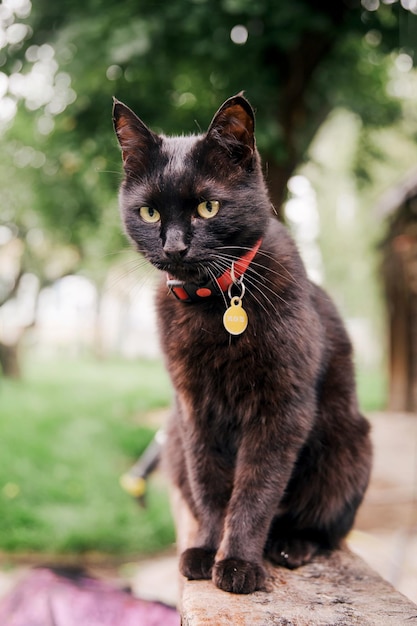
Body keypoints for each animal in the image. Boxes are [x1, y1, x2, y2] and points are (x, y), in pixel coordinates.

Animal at [113, 95, 370, 592]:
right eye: (150, 213)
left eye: (209, 207)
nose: (174, 248)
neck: (214, 305)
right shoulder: (194, 409)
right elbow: (211, 485)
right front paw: (206, 549)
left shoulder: (281, 408)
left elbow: (255, 490)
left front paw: (237, 562)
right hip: (173, 438)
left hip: (347, 443)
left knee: (327, 527)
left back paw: (290, 545)